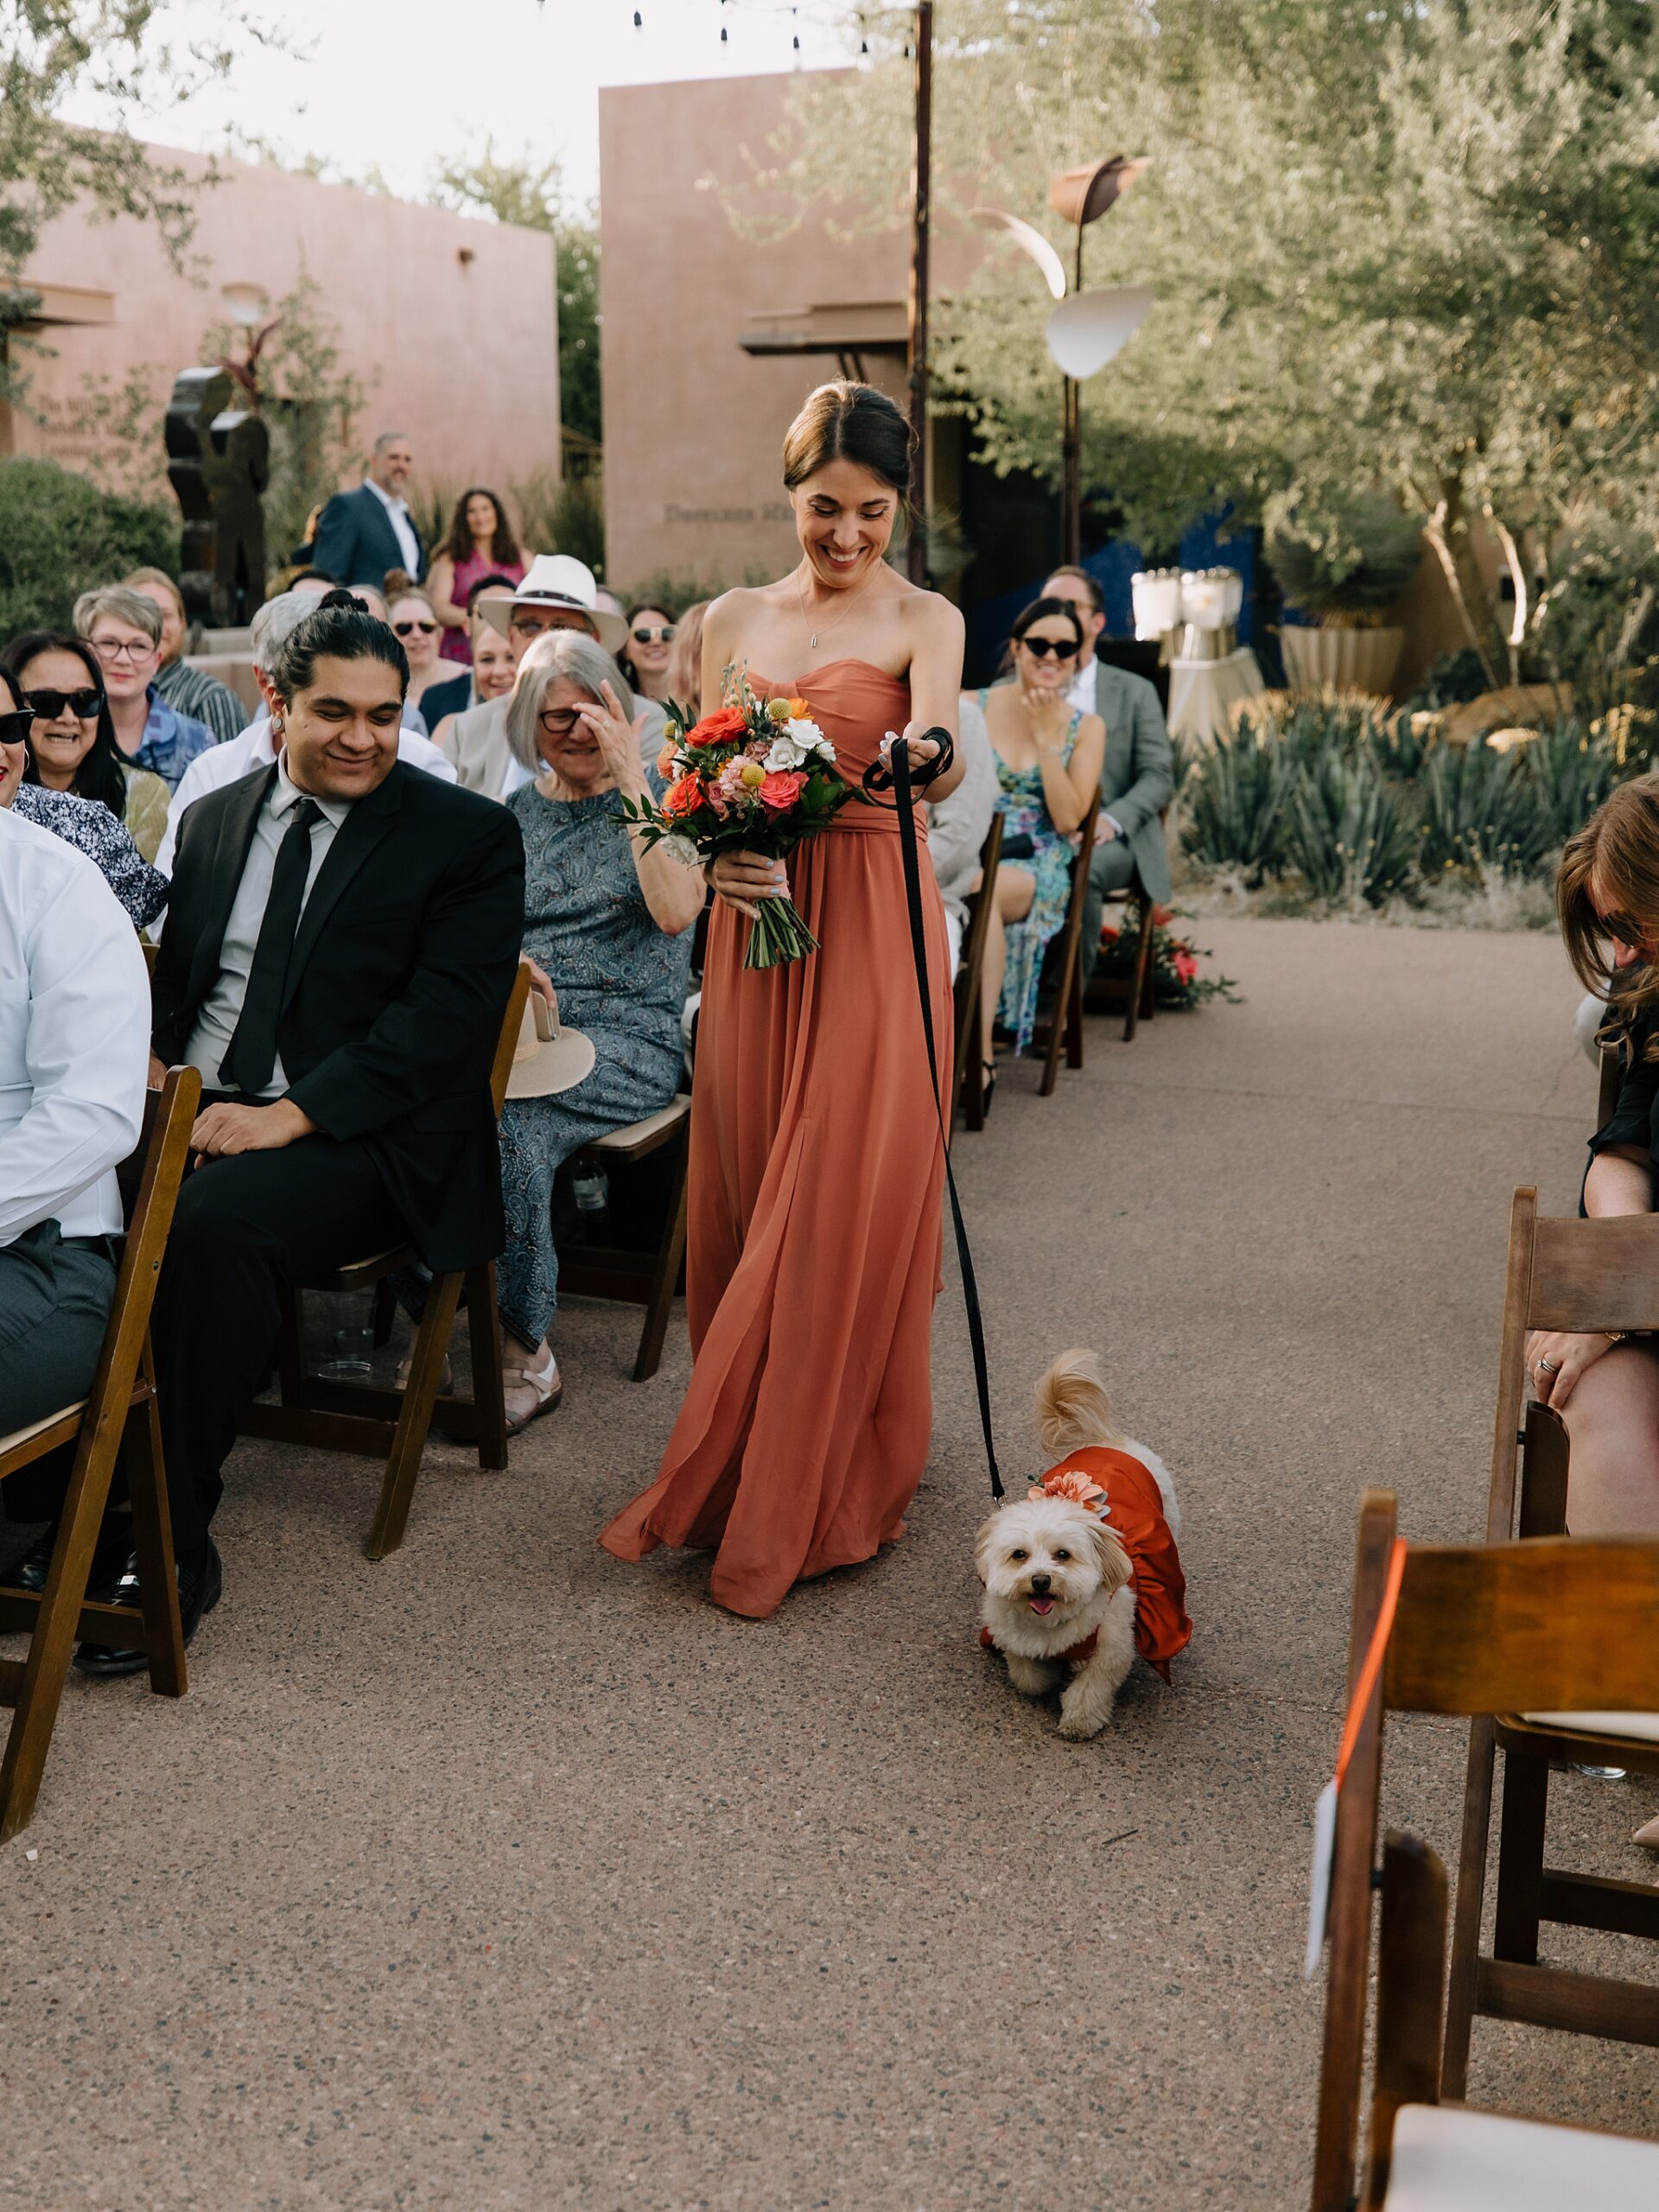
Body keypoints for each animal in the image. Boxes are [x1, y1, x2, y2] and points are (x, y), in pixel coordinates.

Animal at [982, 1353, 1185, 1734]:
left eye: (1063, 1555)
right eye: (1019, 1555)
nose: (1041, 1580)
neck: (1051, 1624)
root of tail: (1105, 1440)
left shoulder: (1112, 1647)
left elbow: (1091, 1688)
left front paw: (1079, 1722)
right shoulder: (1013, 1636)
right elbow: (1028, 1677)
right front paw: (1046, 1677)